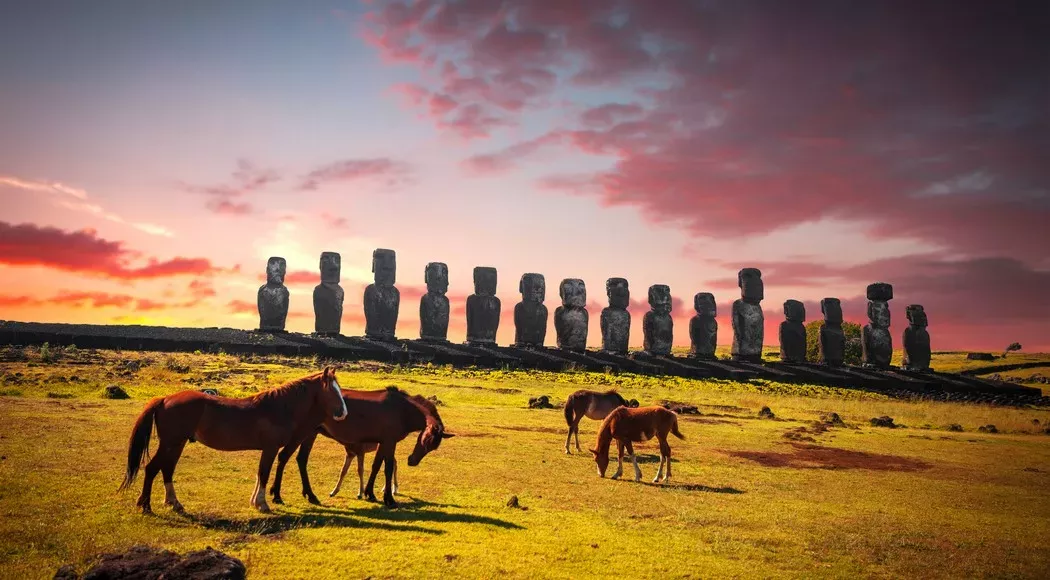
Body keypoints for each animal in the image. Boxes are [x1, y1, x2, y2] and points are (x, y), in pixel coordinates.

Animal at [118, 365, 348, 514]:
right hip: (170, 443)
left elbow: (259, 474)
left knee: (167, 469)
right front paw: (262, 504)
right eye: (331, 389)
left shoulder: (268, 450)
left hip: (177, 444)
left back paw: (173, 503)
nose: (343, 413)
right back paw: (146, 506)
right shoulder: (271, 448)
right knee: (152, 468)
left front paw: (255, 501)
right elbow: (264, 474)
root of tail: (165, 399)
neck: (278, 408)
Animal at [268, 384, 453, 508]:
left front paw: (370, 493)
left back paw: (310, 495)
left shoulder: (383, 443)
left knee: (301, 459)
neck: (402, 410)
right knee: (284, 456)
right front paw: (389, 499)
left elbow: (376, 466)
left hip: (310, 434)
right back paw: (277, 495)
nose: (412, 461)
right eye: (425, 439)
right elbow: (387, 467)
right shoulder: (389, 442)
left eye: (433, 447)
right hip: (302, 433)